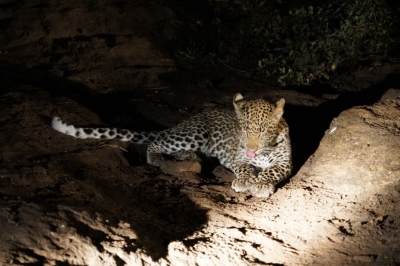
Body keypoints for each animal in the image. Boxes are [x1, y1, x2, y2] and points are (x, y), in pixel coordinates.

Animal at [52, 93, 290, 197]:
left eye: (262, 130)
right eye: (244, 129)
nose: (250, 149)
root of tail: (184, 122)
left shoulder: (284, 163)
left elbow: (271, 170)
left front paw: (261, 184)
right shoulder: (238, 159)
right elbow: (244, 167)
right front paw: (246, 181)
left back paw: (191, 158)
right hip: (195, 133)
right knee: (156, 142)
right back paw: (159, 158)